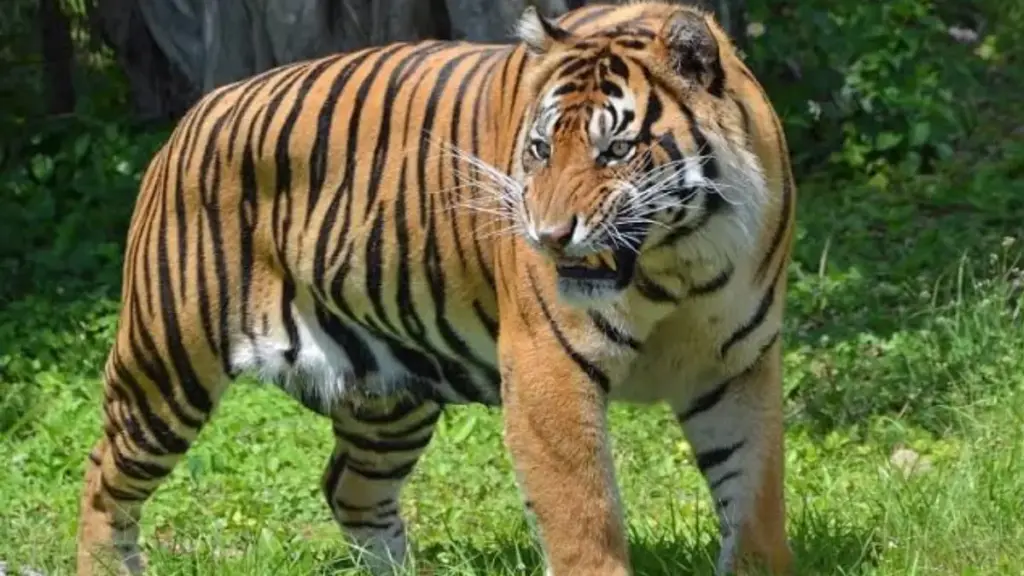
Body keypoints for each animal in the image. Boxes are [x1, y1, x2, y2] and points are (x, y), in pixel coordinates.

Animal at [75, 1, 797, 575]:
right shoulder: (548, 367)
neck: (681, 264)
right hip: (165, 365)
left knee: (351, 491)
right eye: (539, 149)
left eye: (615, 152)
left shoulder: (736, 366)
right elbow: (583, 516)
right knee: (103, 481)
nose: (547, 235)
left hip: (387, 394)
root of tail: (198, 110)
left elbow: (754, 500)